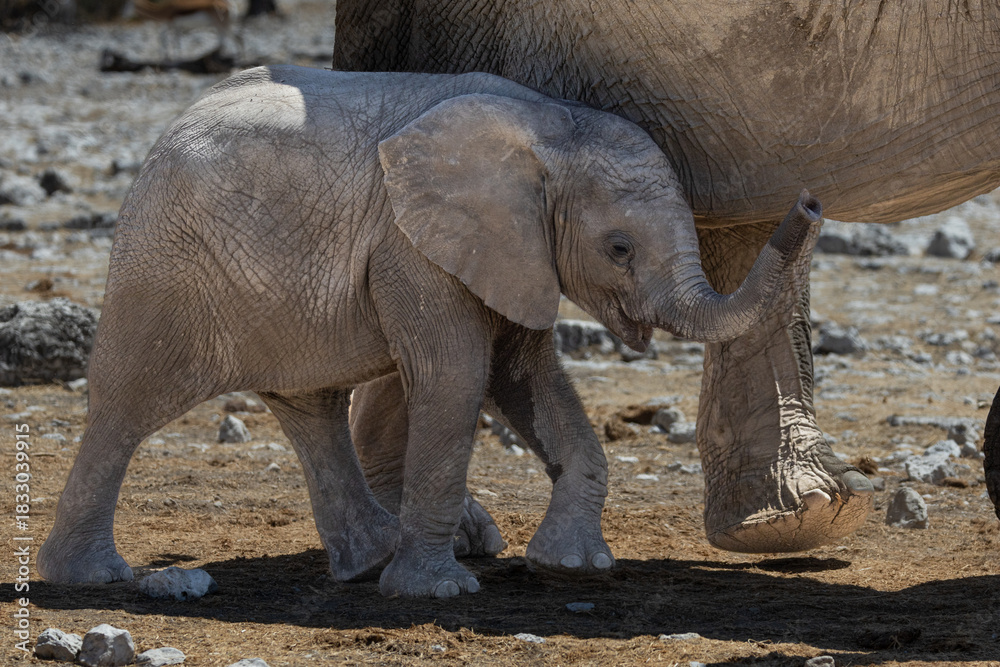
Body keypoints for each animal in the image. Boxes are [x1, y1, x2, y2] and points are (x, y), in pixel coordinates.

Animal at [36, 64, 822, 598]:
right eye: (620, 248)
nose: (810, 201)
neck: (552, 125)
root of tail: (164, 133)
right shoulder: (413, 245)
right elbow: (457, 376)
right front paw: (437, 591)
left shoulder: (511, 250)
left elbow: (524, 376)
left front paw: (575, 566)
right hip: (164, 268)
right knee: (127, 408)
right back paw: (90, 577)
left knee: (311, 407)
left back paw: (368, 560)